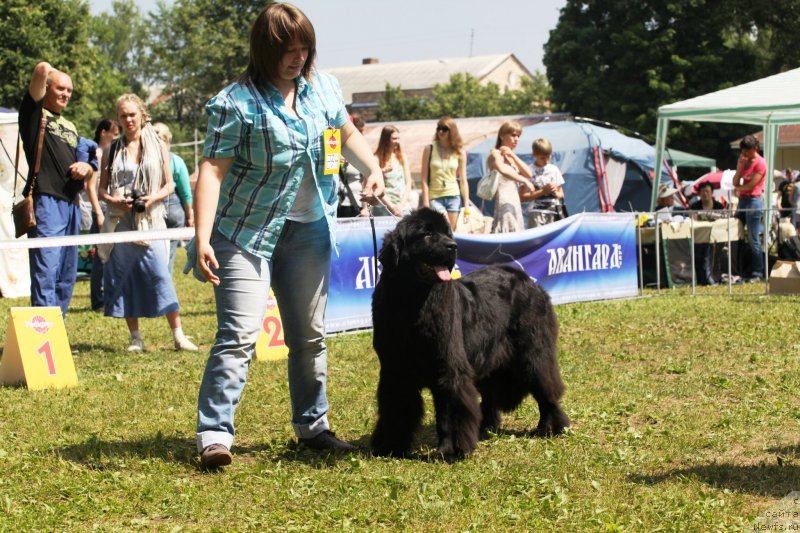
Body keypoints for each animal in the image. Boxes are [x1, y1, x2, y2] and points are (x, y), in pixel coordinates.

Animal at [374, 206, 568, 460]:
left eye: (447, 234)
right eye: (426, 234)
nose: (453, 246)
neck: (411, 302)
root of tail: (528, 280)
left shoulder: (449, 371)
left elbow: (447, 416)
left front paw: (450, 452)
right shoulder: (395, 371)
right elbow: (395, 408)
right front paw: (390, 445)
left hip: (533, 353)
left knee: (546, 390)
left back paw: (550, 427)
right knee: (489, 396)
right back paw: (486, 427)